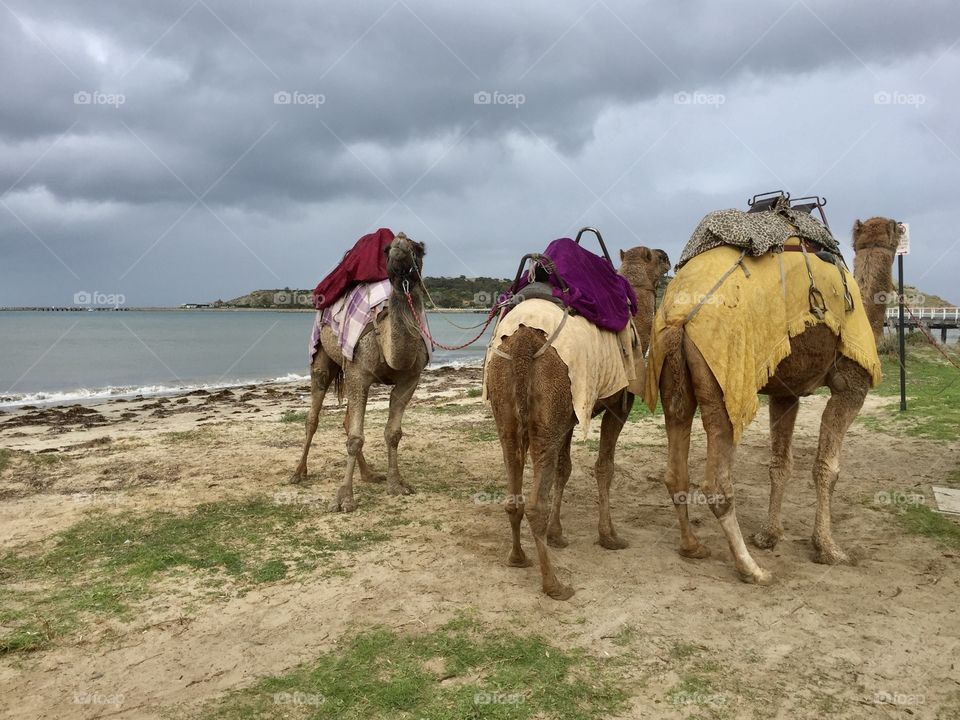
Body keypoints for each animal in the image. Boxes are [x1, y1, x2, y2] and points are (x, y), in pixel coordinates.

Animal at [292, 233, 429, 512]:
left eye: (419, 249)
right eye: (386, 249)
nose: (399, 242)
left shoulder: (410, 379)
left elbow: (393, 434)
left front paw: (396, 484)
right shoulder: (358, 374)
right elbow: (355, 438)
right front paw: (344, 498)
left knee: (345, 421)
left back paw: (369, 474)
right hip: (321, 355)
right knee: (313, 415)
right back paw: (298, 472)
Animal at [485, 246, 670, 599]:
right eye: (655, 257)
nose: (669, 258)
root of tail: (522, 341)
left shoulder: (569, 416)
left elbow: (565, 468)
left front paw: (557, 534)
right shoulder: (619, 404)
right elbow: (604, 467)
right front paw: (609, 536)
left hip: (508, 410)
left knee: (513, 486)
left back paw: (517, 557)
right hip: (547, 408)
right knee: (535, 502)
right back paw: (554, 584)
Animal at [656, 218, 901, 583]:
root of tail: (679, 316)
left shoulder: (786, 394)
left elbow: (780, 464)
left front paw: (769, 535)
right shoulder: (851, 386)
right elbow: (827, 468)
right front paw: (829, 549)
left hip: (671, 375)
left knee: (676, 471)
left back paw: (692, 547)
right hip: (726, 378)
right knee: (717, 484)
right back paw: (752, 569)